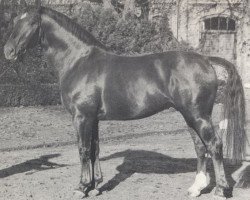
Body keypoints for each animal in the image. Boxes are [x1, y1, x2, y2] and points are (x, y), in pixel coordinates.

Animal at [3, 0, 246, 198]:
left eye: (31, 22)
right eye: (15, 20)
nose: (8, 51)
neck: (79, 61)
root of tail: (205, 59)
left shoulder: (81, 117)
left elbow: (83, 150)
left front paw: (82, 187)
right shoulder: (93, 118)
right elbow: (95, 150)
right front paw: (96, 186)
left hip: (198, 116)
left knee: (214, 145)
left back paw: (220, 190)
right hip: (190, 116)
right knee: (200, 147)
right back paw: (196, 188)